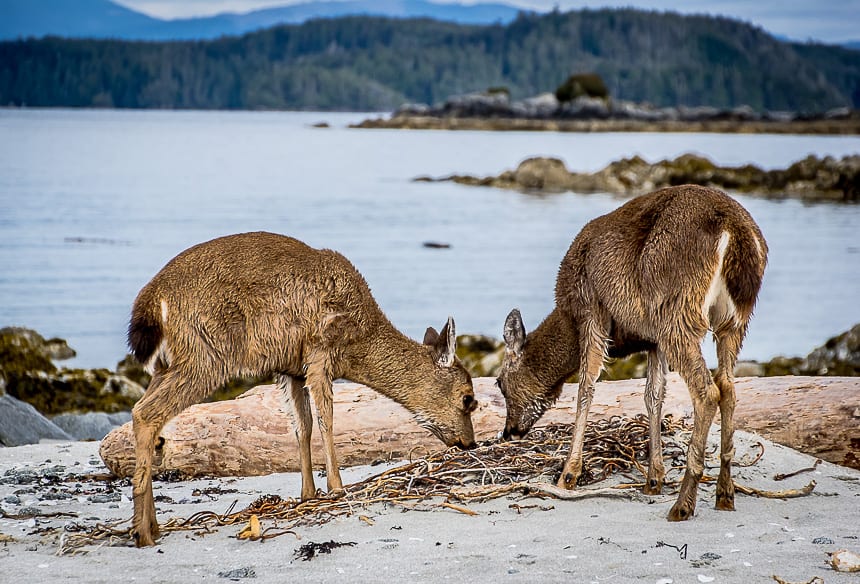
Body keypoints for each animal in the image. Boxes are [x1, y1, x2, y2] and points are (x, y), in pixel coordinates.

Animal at [127, 233, 478, 548]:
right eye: (468, 399)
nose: (469, 442)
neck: (359, 342)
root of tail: (152, 299)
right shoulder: (320, 352)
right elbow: (327, 420)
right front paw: (337, 488)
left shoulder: (291, 369)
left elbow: (302, 426)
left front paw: (307, 494)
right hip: (205, 354)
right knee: (146, 413)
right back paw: (143, 533)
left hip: (168, 364)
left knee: (141, 410)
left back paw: (150, 526)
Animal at [498, 184, 764, 520]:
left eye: (499, 383)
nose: (509, 432)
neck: (568, 316)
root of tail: (734, 230)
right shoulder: (652, 340)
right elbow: (653, 395)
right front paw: (654, 479)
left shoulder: (592, 310)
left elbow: (586, 388)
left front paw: (568, 475)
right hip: (734, 319)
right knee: (728, 386)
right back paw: (724, 494)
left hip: (678, 309)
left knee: (707, 391)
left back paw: (683, 503)